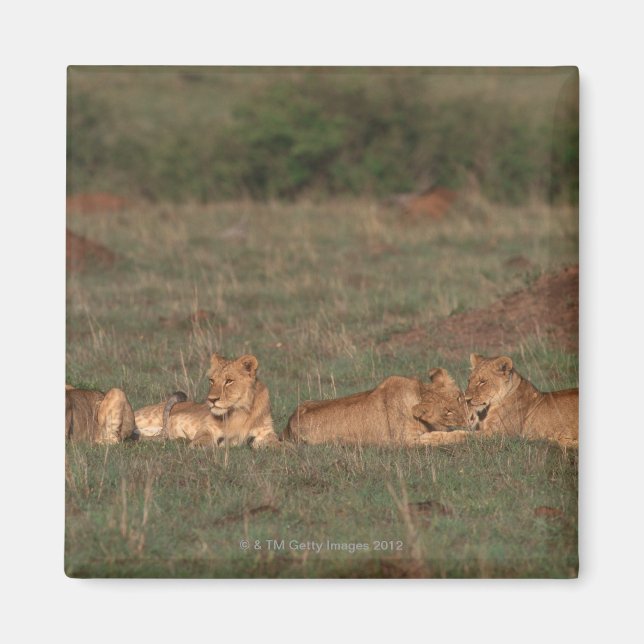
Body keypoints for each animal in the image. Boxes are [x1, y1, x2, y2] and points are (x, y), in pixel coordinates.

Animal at [134, 353, 278, 447]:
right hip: (145, 417)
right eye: (212, 380)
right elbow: (203, 439)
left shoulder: (266, 432)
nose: (211, 399)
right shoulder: (207, 428)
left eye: (229, 381)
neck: (239, 412)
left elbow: (278, 444)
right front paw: (198, 445)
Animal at [283, 368, 475, 445]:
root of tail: (288, 423)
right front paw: (466, 436)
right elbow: (440, 437)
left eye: (459, 398)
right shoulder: (404, 440)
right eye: (447, 412)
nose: (470, 419)